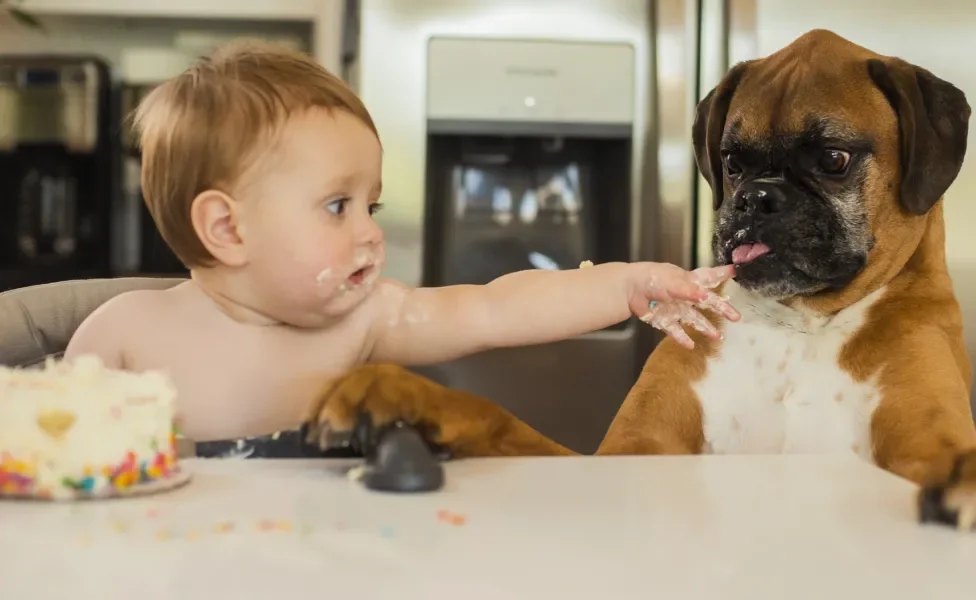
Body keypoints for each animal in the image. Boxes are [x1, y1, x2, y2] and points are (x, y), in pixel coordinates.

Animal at [304, 29, 976, 528]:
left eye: (834, 159)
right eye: (732, 161)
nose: (756, 199)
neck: (800, 327)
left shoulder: (920, 443)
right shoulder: (626, 456)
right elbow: (499, 420)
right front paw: (404, 397)